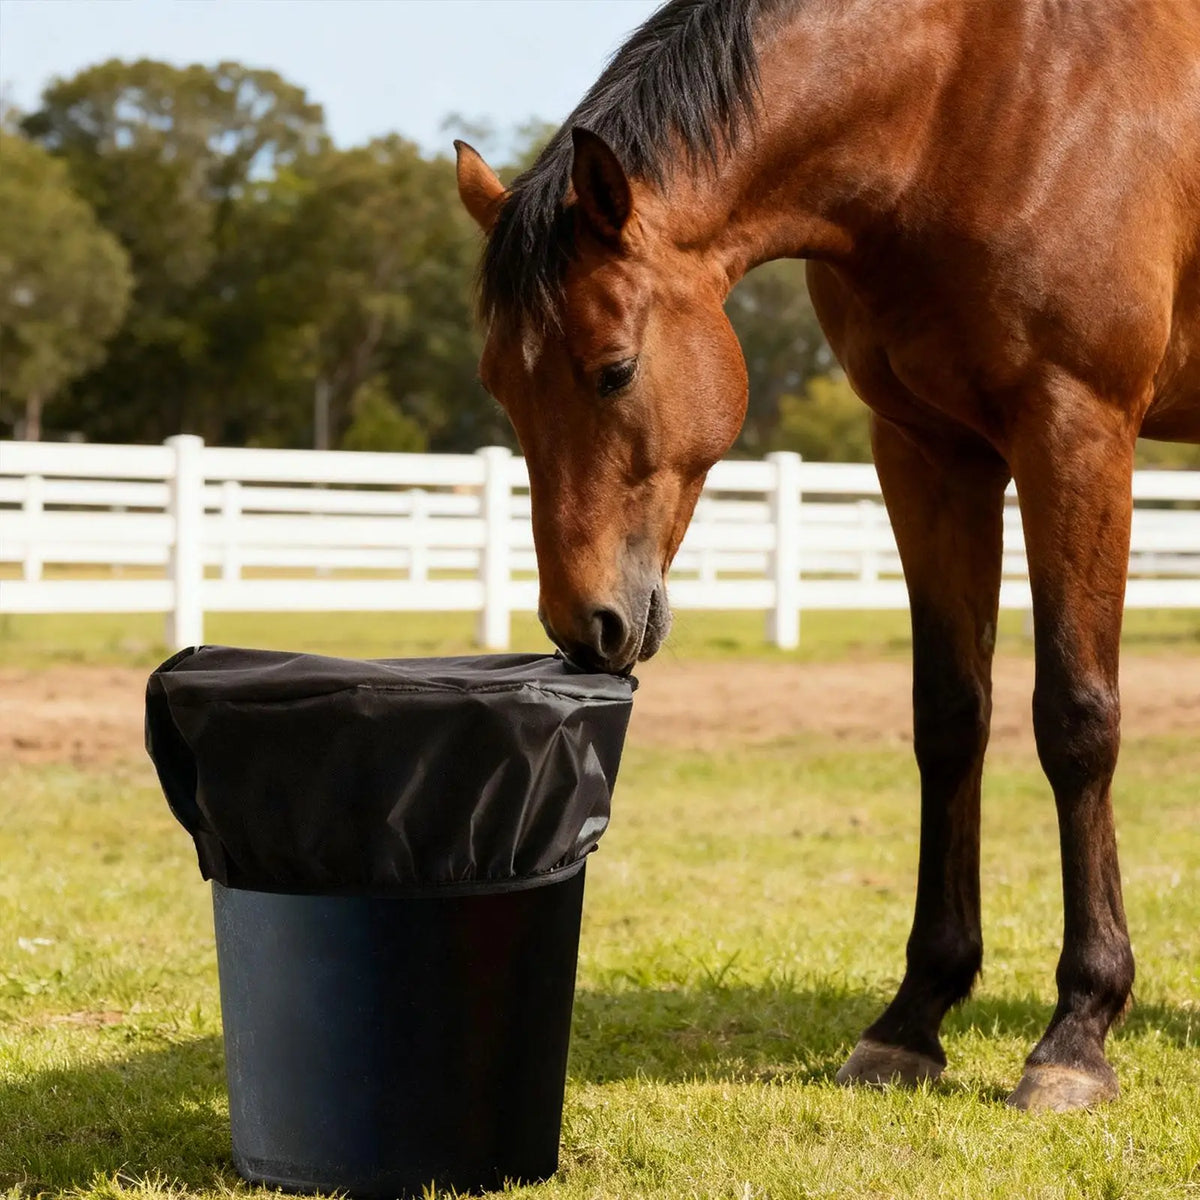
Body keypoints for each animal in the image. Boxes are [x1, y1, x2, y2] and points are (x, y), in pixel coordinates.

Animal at [454, 0, 1200, 1112]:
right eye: (501, 385)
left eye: (613, 370)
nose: (586, 626)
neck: (982, 100)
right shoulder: (929, 452)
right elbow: (951, 720)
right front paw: (912, 1019)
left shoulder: (1077, 431)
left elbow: (1075, 721)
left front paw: (1077, 1031)